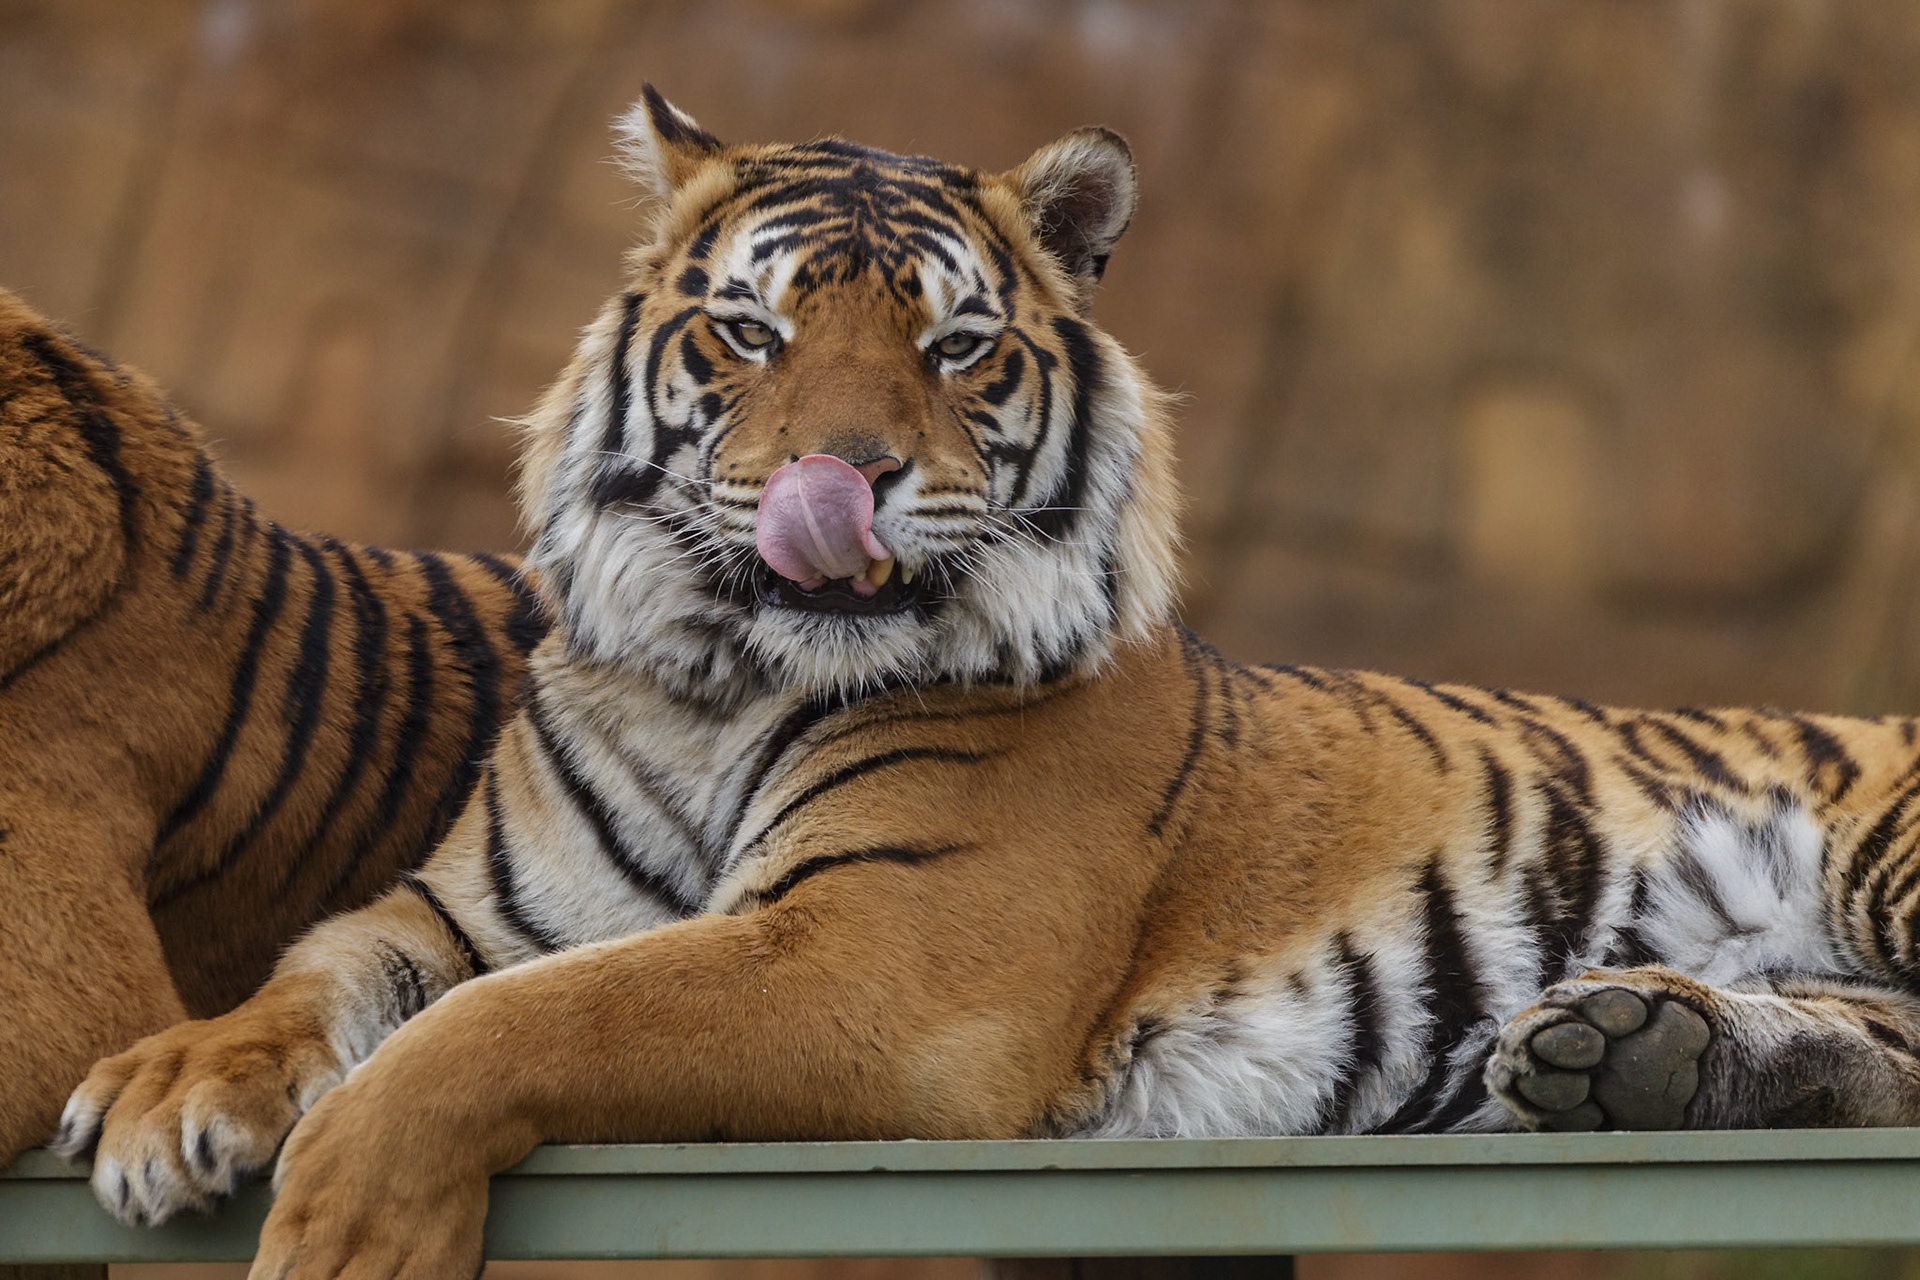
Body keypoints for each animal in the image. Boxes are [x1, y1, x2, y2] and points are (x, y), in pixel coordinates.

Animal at [59, 87, 1920, 1280]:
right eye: (752, 332)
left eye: (956, 347)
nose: (850, 476)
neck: (713, 680)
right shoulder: (463, 908)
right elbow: (322, 976)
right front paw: (170, 1092)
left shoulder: (881, 952)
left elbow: (514, 1027)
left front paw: (343, 1228)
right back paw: (1635, 1052)